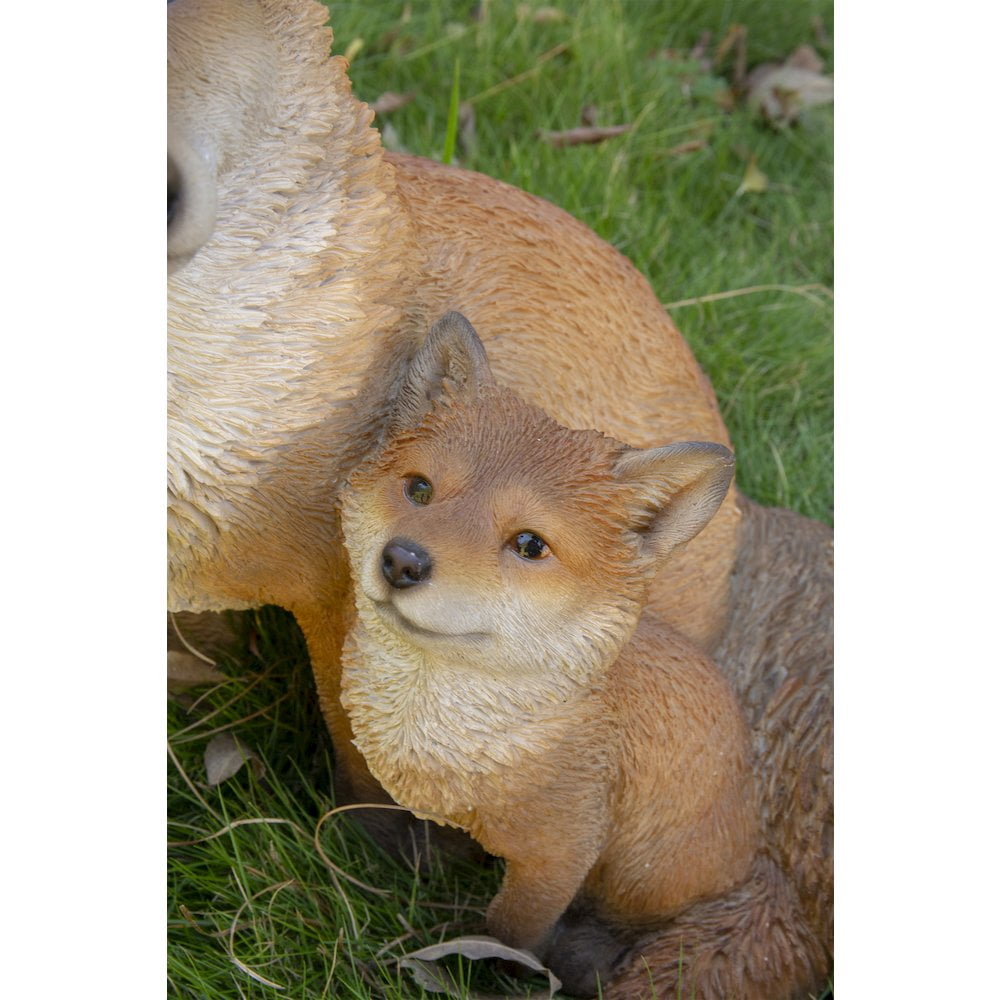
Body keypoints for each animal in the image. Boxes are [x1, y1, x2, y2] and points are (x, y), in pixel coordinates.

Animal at [338, 312, 760, 996]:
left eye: (530, 544)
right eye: (419, 489)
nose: (402, 561)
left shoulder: (560, 851)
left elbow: (511, 931)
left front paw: (495, 974)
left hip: (645, 875)